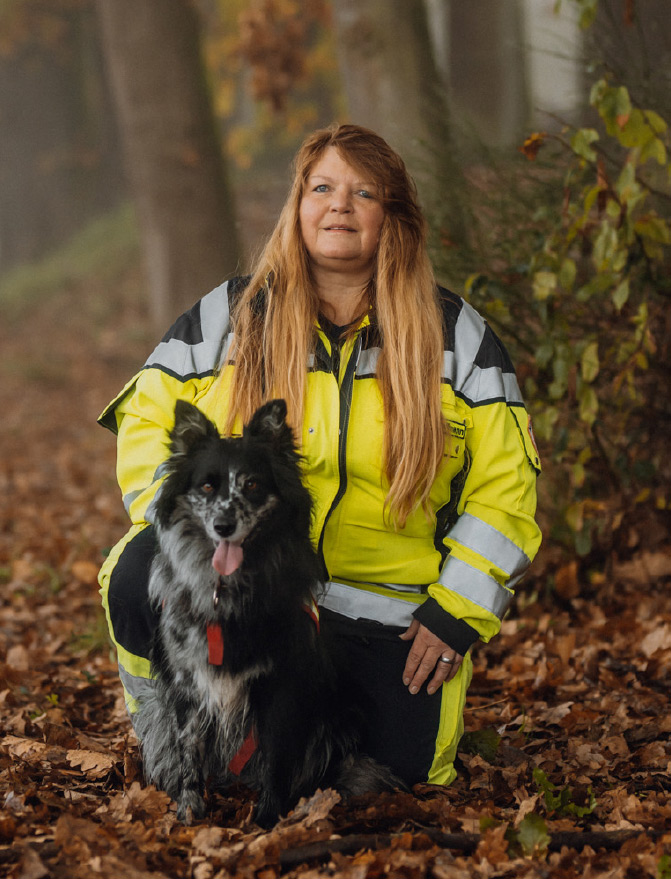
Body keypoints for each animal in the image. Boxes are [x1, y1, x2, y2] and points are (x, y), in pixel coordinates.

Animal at [134, 402, 402, 828]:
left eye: (252, 485)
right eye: (207, 487)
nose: (223, 526)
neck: (227, 590)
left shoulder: (283, 686)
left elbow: (278, 759)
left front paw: (267, 820)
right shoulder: (187, 683)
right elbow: (189, 750)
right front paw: (190, 809)